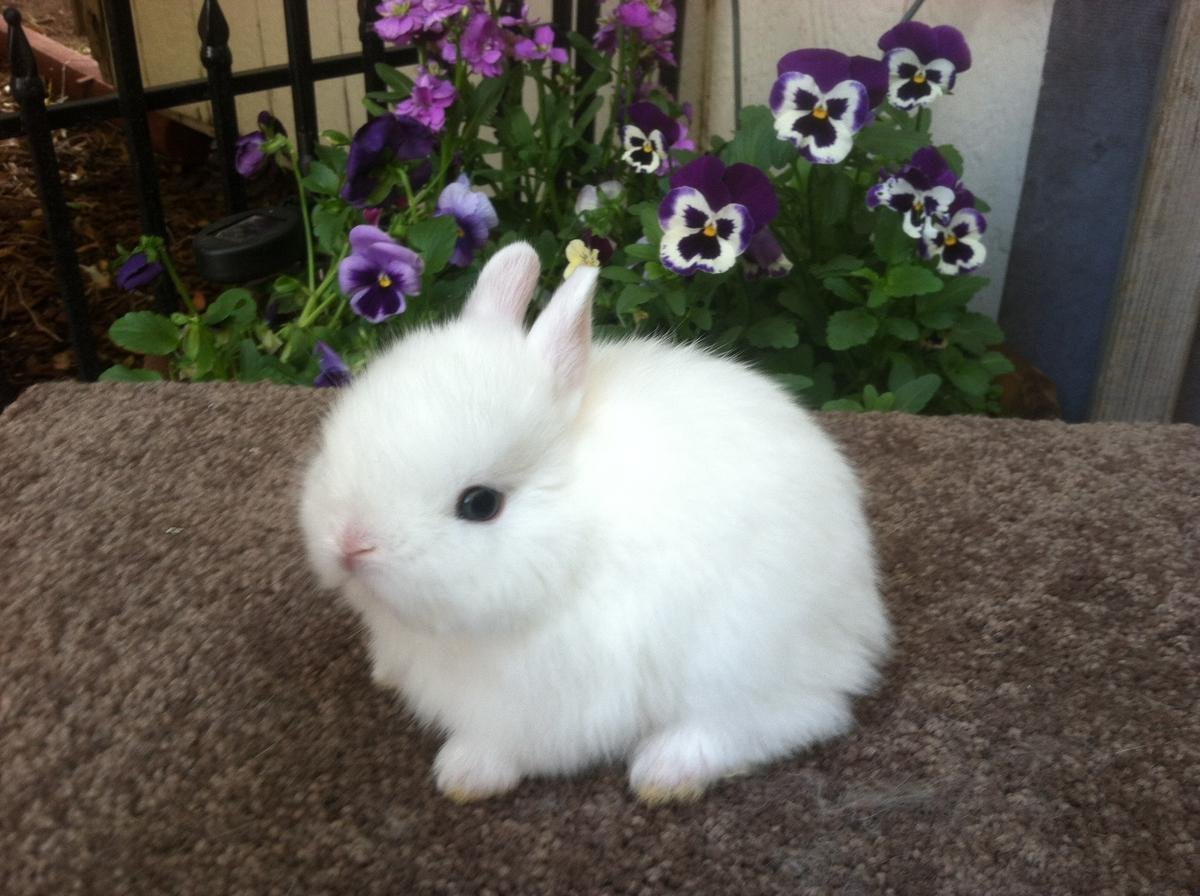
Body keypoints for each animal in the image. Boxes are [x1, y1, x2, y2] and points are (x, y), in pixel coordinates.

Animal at [299, 242, 890, 803]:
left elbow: (510, 743)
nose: (350, 544)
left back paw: (666, 771)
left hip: (739, 657)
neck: (577, 538)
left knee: (786, 717)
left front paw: (464, 773)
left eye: (480, 504)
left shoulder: (554, 698)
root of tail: (859, 615)